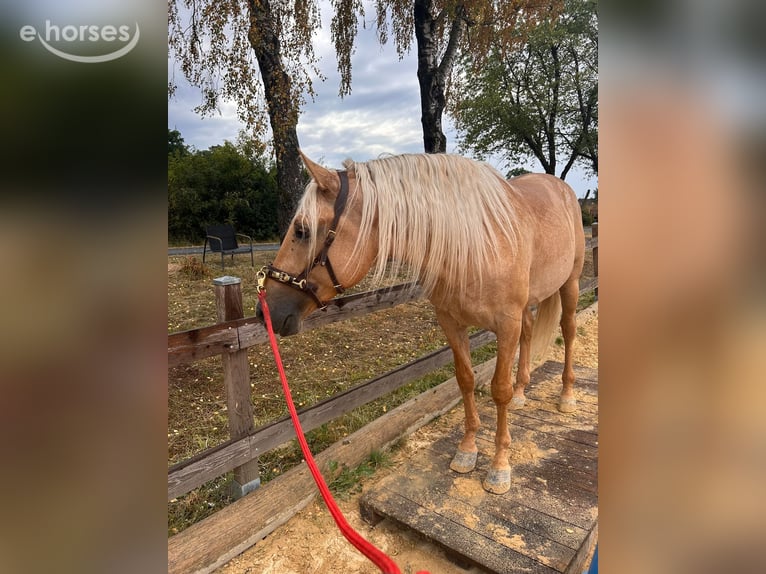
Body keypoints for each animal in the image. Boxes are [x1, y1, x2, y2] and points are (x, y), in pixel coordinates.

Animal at [257, 151, 585, 494]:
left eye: (302, 230)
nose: (266, 310)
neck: (477, 245)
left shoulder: (506, 325)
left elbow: (499, 390)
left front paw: (499, 467)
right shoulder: (451, 323)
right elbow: (466, 380)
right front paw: (467, 450)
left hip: (570, 285)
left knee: (568, 331)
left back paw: (567, 396)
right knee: (529, 334)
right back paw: (523, 392)